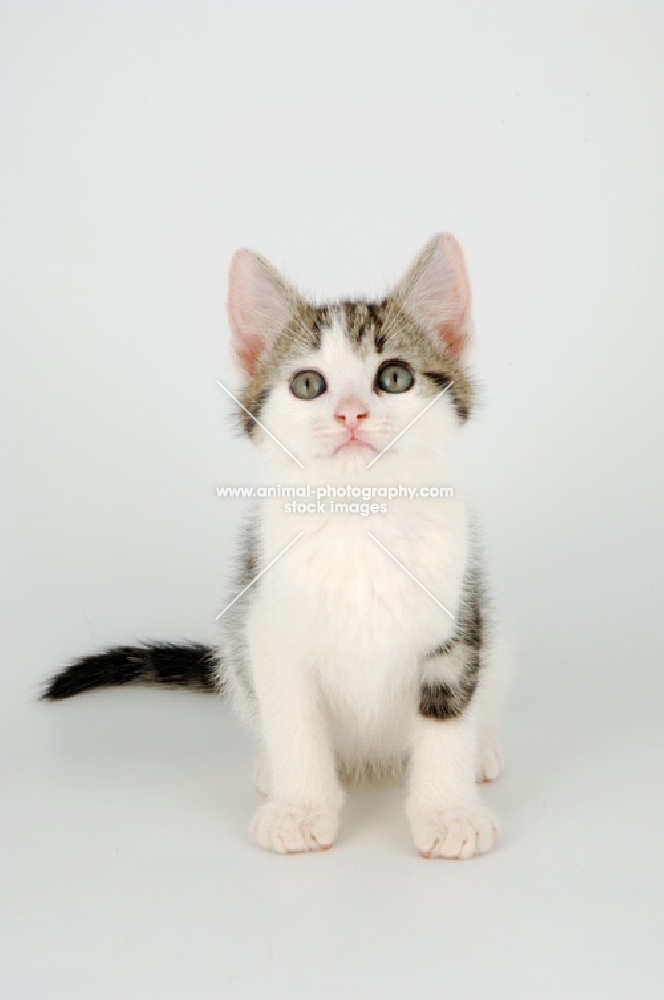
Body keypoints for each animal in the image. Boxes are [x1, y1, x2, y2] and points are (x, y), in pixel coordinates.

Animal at [45, 234, 504, 860]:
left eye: (394, 378)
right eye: (308, 384)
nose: (351, 413)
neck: (357, 520)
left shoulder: (457, 621)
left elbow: (447, 717)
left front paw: (448, 812)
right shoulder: (269, 627)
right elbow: (294, 721)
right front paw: (301, 807)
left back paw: (482, 752)